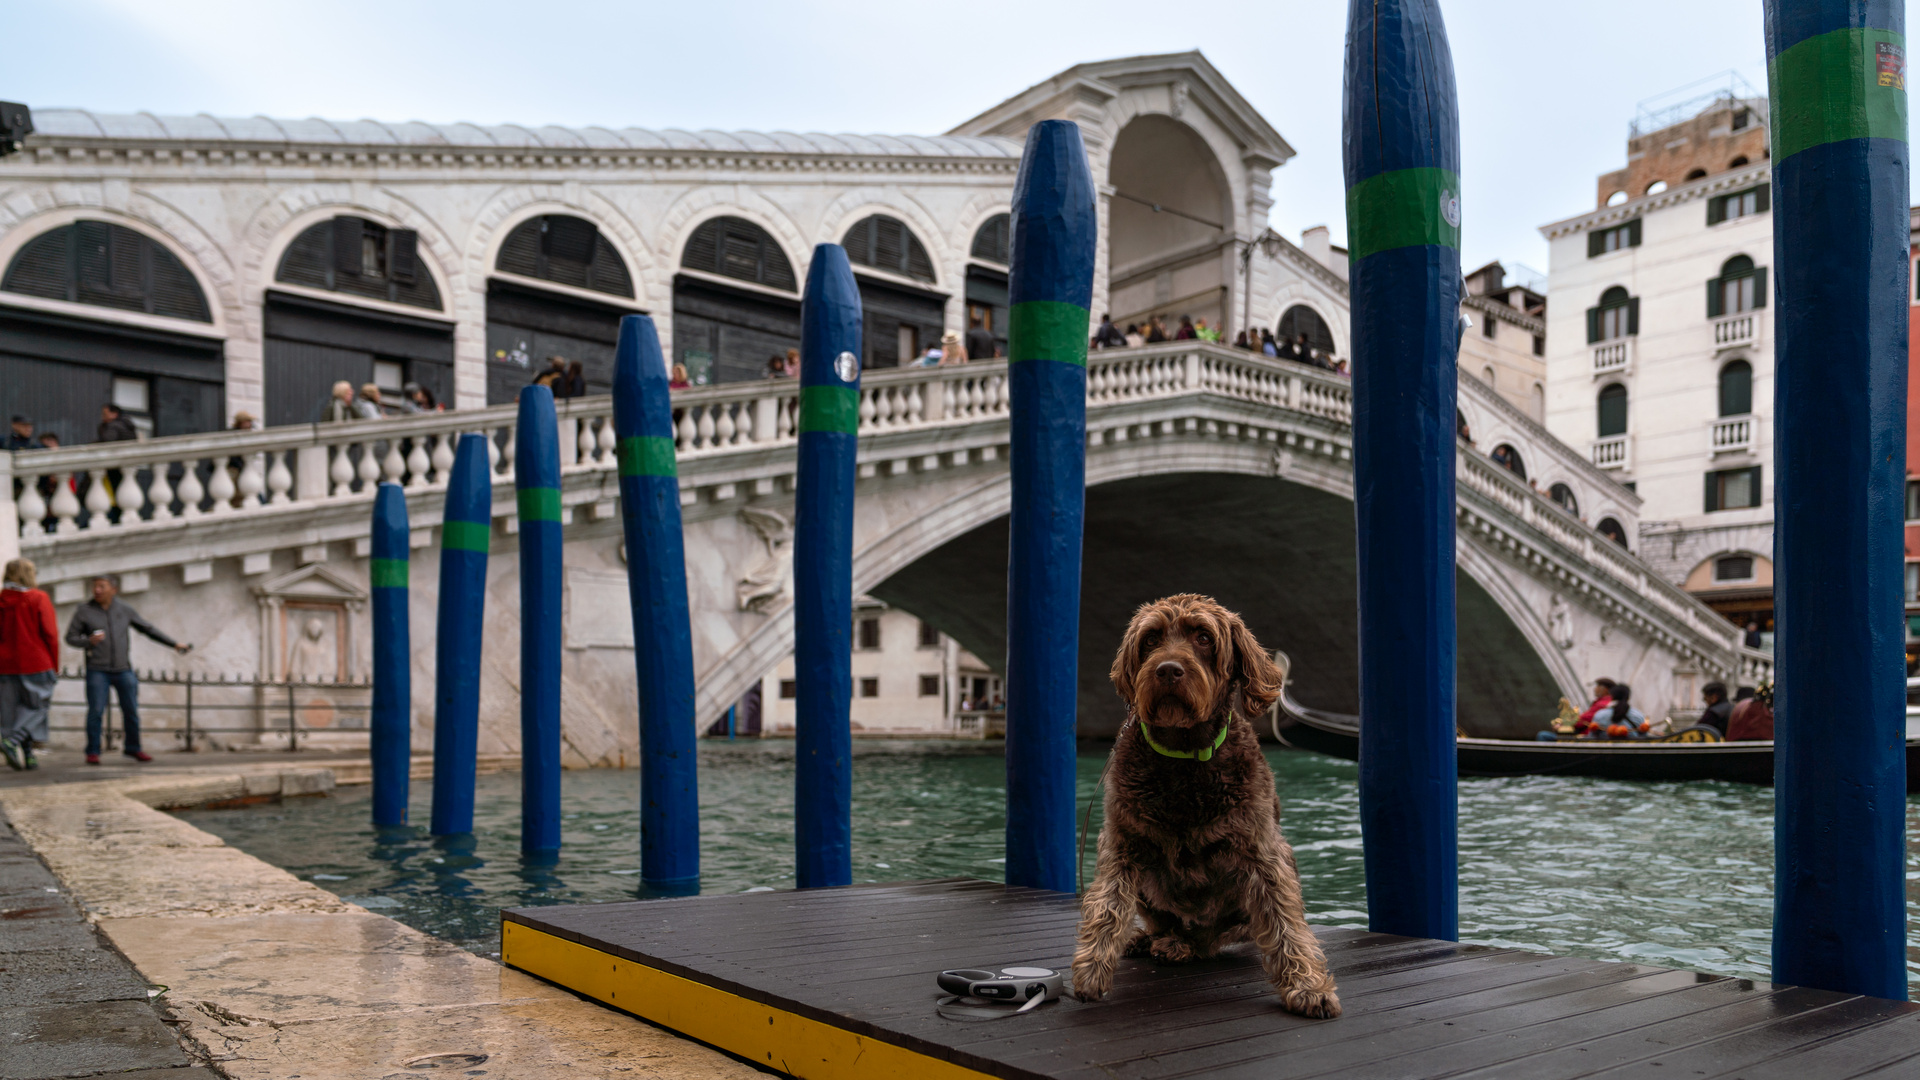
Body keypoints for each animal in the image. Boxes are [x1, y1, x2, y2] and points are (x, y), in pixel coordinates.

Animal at [1075, 591, 1344, 1014]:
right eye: (1151, 639)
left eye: (1203, 637)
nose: (1168, 670)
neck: (1184, 759)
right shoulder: (1122, 843)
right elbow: (1107, 903)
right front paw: (1091, 967)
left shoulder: (1263, 851)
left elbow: (1285, 921)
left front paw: (1308, 985)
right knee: (1163, 923)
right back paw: (1150, 939)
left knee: (1207, 942)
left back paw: (1179, 946)